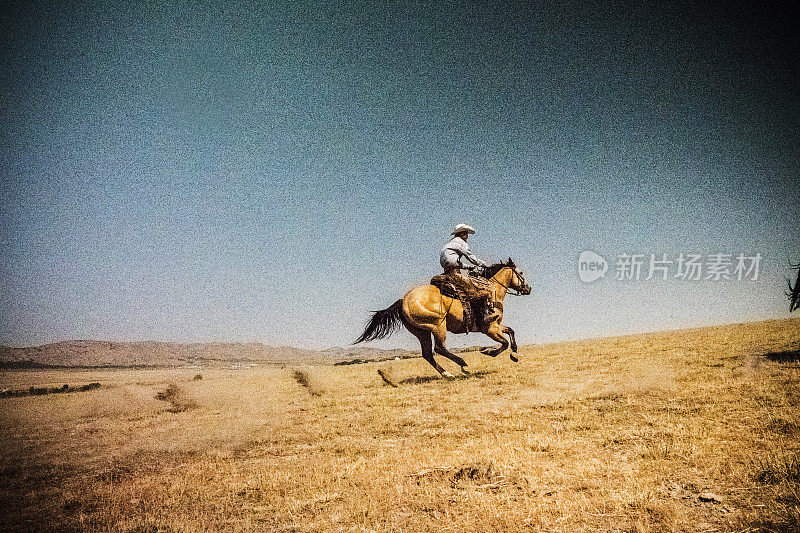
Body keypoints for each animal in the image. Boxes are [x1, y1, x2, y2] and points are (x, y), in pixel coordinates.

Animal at [354, 258, 532, 378]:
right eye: (521, 273)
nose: (528, 288)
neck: (492, 292)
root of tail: (403, 301)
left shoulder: (497, 326)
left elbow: (511, 332)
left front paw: (514, 355)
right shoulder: (490, 329)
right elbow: (504, 343)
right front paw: (488, 351)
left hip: (422, 332)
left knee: (428, 354)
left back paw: (447, 374)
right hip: (438, 326)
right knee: (439, 348)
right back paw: (463, 365)